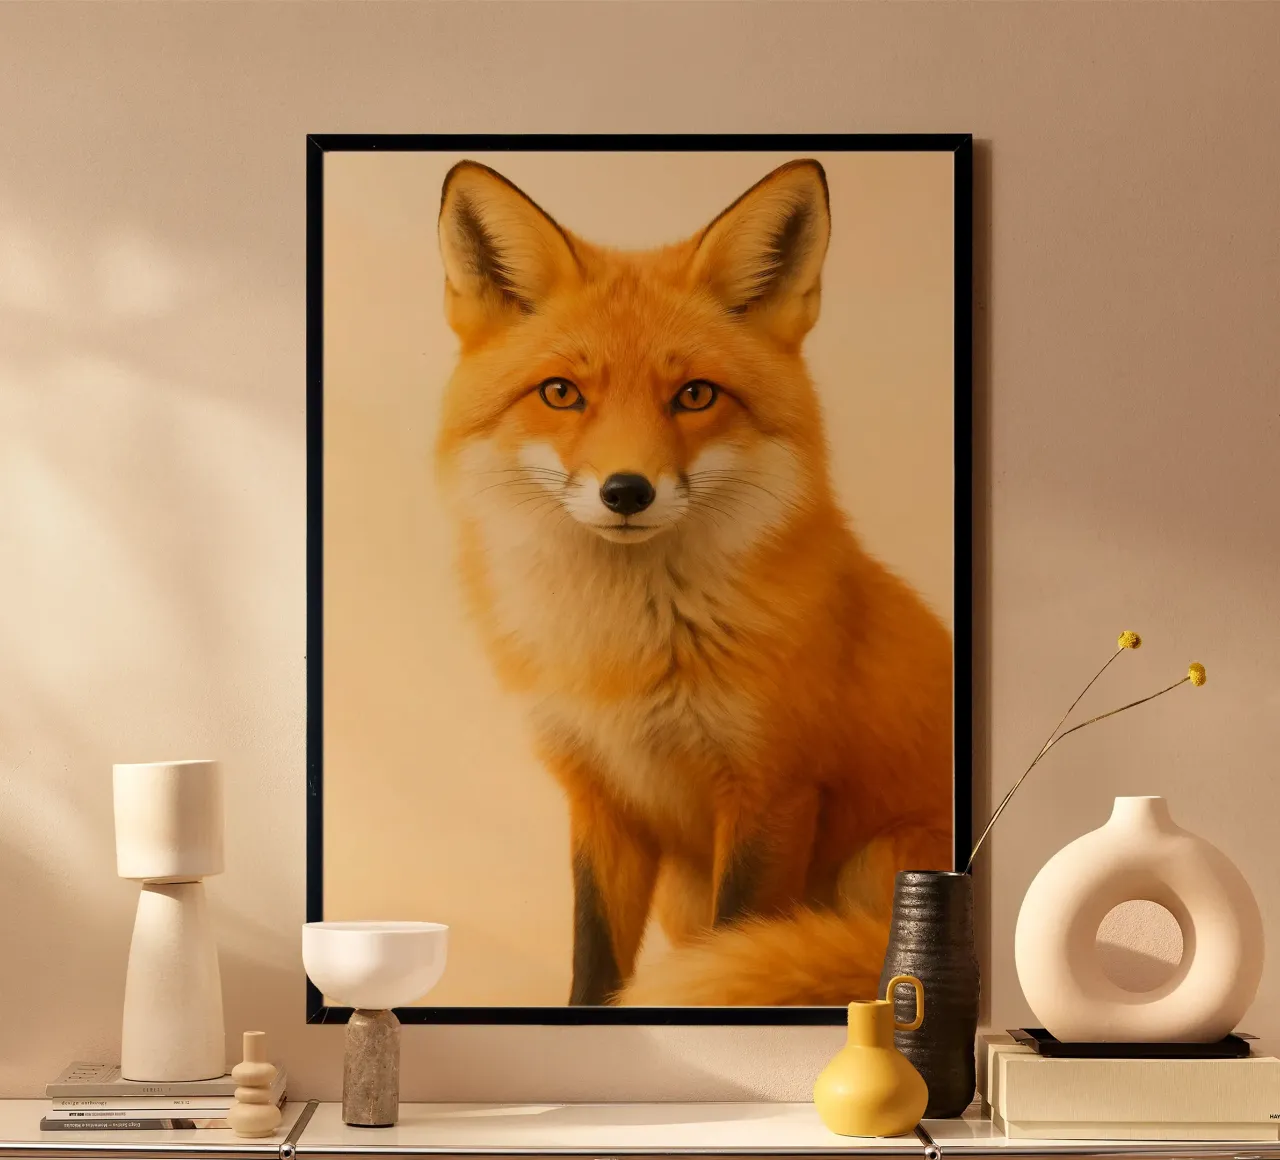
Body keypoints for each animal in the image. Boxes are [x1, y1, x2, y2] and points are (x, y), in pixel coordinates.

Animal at [433, 157, 954, 1007]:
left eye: (695, 394)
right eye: (561, 393)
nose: (627, 491)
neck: (624, 649)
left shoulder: (771, 794)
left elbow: (735, 938)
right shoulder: (601, 801)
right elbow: (594, 960)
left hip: (885, 865)